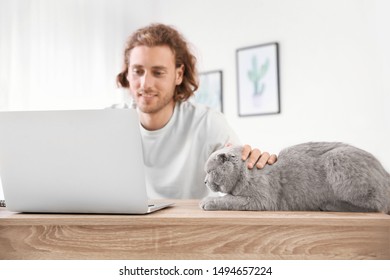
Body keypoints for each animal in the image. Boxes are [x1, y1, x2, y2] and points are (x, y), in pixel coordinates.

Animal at [200, 142, 390, 212]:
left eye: (209, 171)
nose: (204, 181)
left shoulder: (261, 199)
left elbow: (229, 199)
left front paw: (207, 202)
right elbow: (229, 197)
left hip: (337, 160)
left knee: (376, 206)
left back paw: (330, 206)